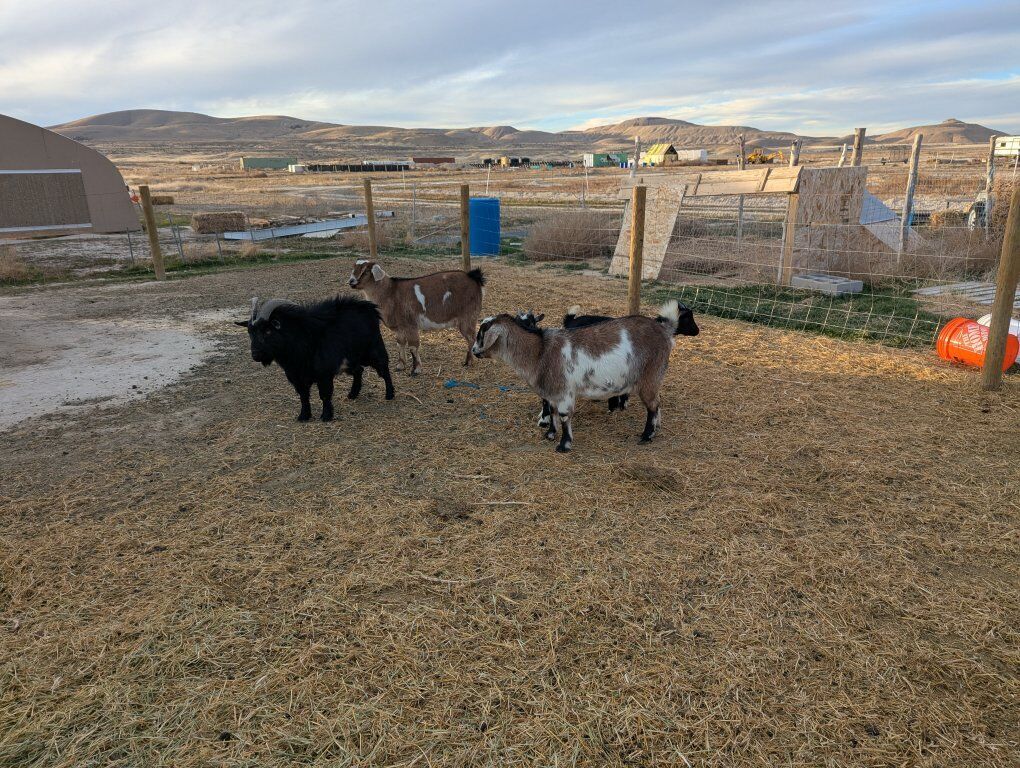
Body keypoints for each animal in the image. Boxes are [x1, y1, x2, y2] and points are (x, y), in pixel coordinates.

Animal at [235, 295, 394, 422]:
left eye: (267, 331)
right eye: (250, 332)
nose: (255, 355)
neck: (302, 340)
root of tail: (370, 308)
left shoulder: (324, 375)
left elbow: (325, 395)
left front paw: (326, 416)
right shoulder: (297, 377)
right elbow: (304, 397)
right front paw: (303, 416)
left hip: (373, 350)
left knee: (384, 369)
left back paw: (390, 394)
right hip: (351, 359)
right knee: (359, 370)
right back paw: (352, 394)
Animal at [348, 260, 485, 375]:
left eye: (365, 271)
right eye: (354, 268)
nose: (351, 282)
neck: (390, 293)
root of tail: (473, 277)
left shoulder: (410, 325)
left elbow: (413, 347)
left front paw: (416, 370)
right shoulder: (399, 328)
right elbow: (400, 344)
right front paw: (400, 365)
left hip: (468, 317)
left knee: (471, 338)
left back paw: (468, 362)